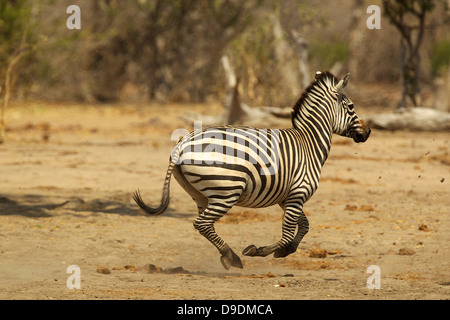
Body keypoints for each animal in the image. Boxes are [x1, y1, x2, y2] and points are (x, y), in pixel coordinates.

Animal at [132, 70, 370, 270]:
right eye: (351, 107)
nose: (367, 133)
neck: (309, 143)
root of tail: (181, 144)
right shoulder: (298, 193)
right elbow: (289, 233)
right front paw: (260, 251)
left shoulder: (288, 197)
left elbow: (304, 225)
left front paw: (286, 251)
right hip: (226, 190)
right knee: (203, 223)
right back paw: (233, 257)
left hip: (199, 193)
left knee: (205, 225)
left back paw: (227, 256)